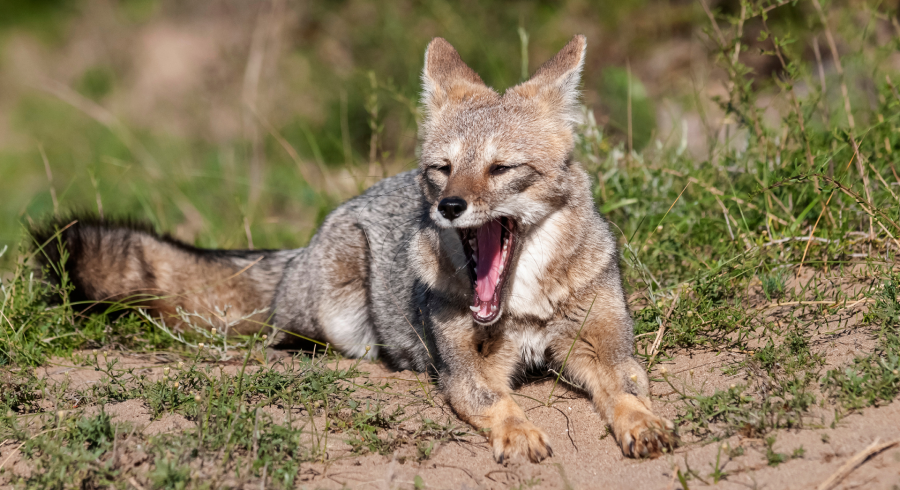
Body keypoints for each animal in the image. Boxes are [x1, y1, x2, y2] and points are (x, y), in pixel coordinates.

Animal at [35, 35, 676, 464]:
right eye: (442, 170)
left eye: (501, 169)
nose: (449, 207)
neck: (523, 303)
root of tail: (302, 246)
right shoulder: (466, 369)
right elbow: (497, 402)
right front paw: (519, 433)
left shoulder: (605, 346)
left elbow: (627, 388)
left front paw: (643, 424)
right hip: (336, 311)